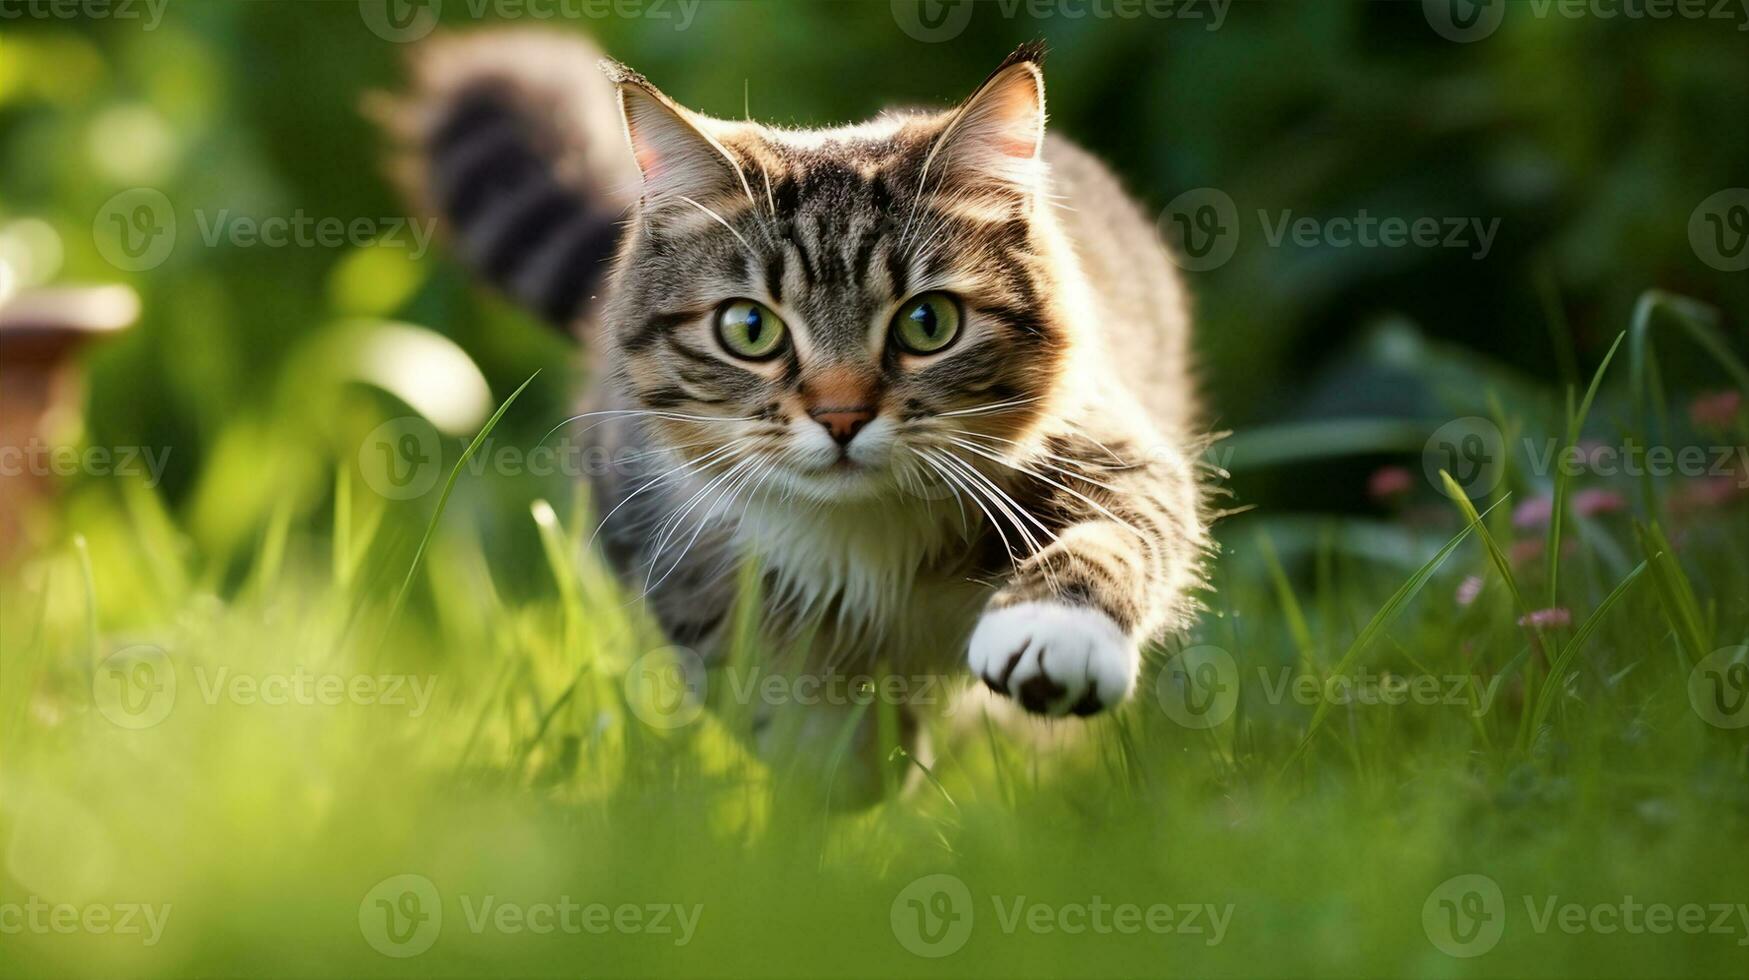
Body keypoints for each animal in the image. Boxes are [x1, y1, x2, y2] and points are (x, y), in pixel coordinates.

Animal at [376, 28, 1210, 780]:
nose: (841, 417)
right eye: (750, 329)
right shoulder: (660, 534)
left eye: (927, 322)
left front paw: (1052, 636)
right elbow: (752, 672)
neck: (865, 532)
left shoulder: (1106, 438)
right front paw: (842, 763)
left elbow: (1122, 528)